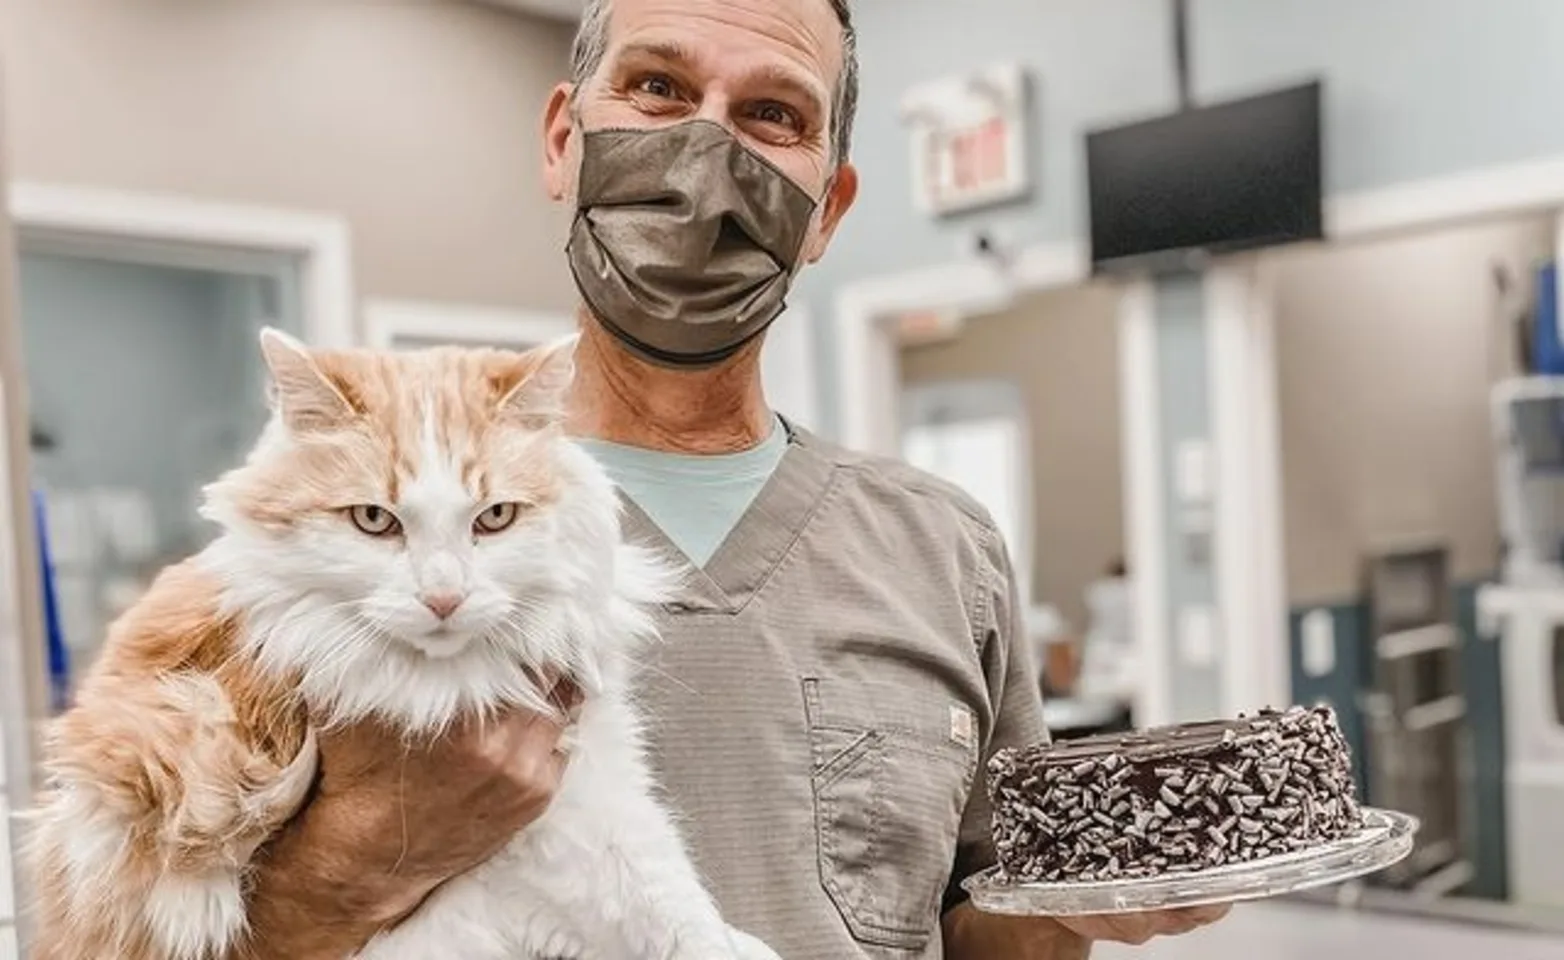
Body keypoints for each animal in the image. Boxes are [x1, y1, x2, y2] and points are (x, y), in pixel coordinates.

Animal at [28, 333, 775, 960]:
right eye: (373, 520)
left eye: (494, 517)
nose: (443, 598)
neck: (453, 683)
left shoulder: (591, 790)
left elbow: (677, 904)